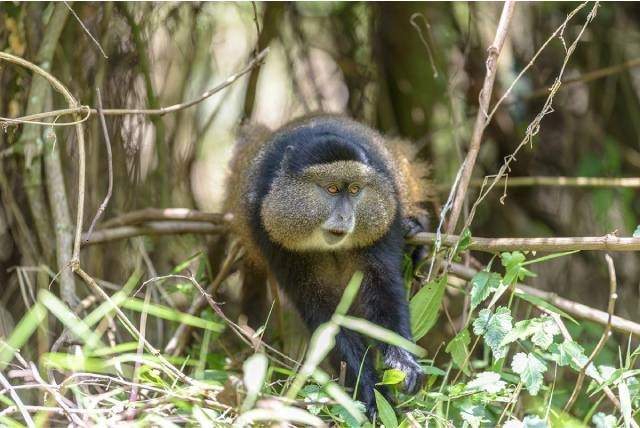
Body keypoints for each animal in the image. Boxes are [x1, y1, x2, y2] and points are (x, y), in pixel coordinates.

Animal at [223, 114, 429, 418]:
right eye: (332, 189)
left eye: (354, 190)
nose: (345, 216)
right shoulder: (271, 234)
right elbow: (324, 312)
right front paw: (369, 393)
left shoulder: (382, 225)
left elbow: (383, 289)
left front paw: (403, 362)